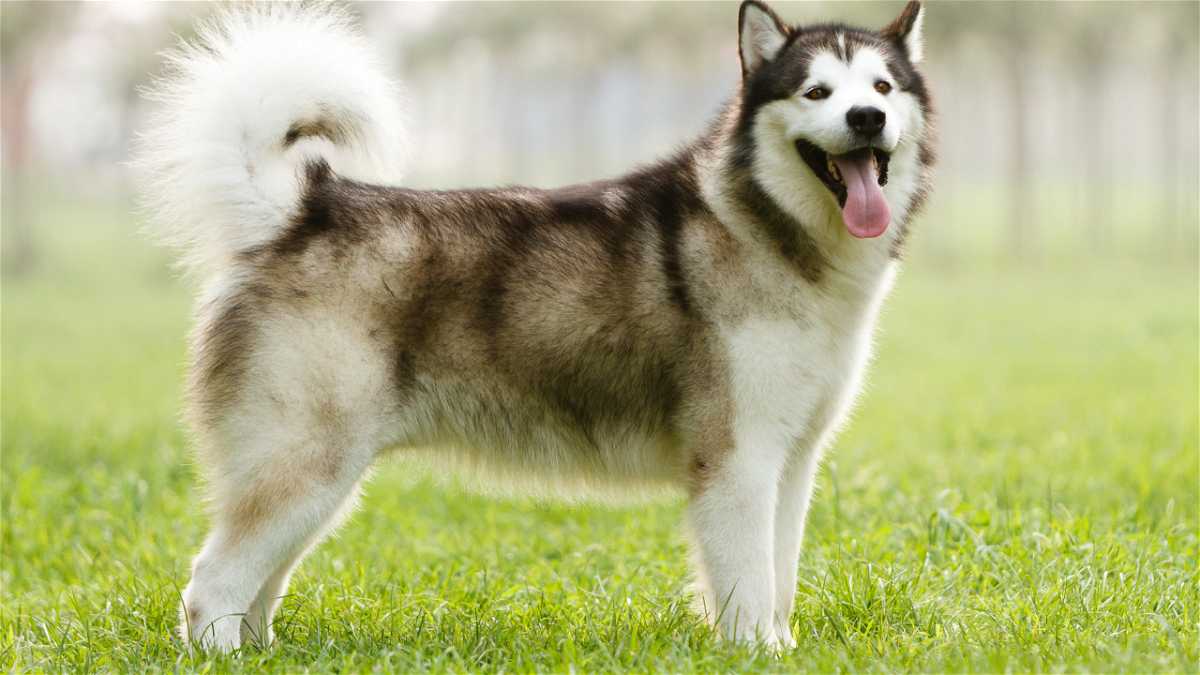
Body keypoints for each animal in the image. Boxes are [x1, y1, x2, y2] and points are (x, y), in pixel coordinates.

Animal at [133, 0, 936, 653]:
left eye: (883, 89)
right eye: (817, 92)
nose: (866, 120)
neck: (772, 232)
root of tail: (303, 207)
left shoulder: (791, 460)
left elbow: (779, 577)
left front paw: (782, 646)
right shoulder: (736, 458)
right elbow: (746, 582)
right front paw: (754, 654)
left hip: (316, 479)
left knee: (257, 582)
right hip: (308, 461)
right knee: (212, 582)